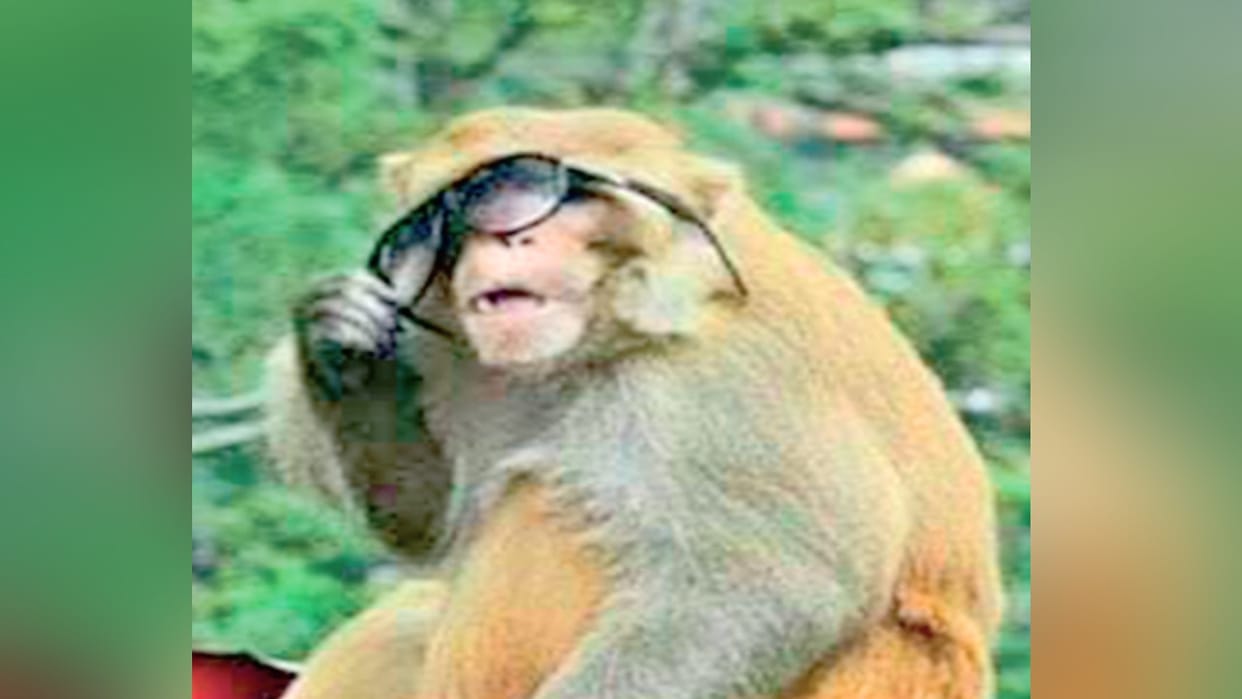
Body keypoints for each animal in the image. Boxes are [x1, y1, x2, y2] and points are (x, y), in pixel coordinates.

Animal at [265, 107, 1003, 699]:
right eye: (437, 221)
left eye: (539, 197)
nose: (499, 237)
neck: (602, 336)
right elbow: (428, 524)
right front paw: (343, 352)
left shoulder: (722, 384)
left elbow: (765, 587)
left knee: (551, 503)